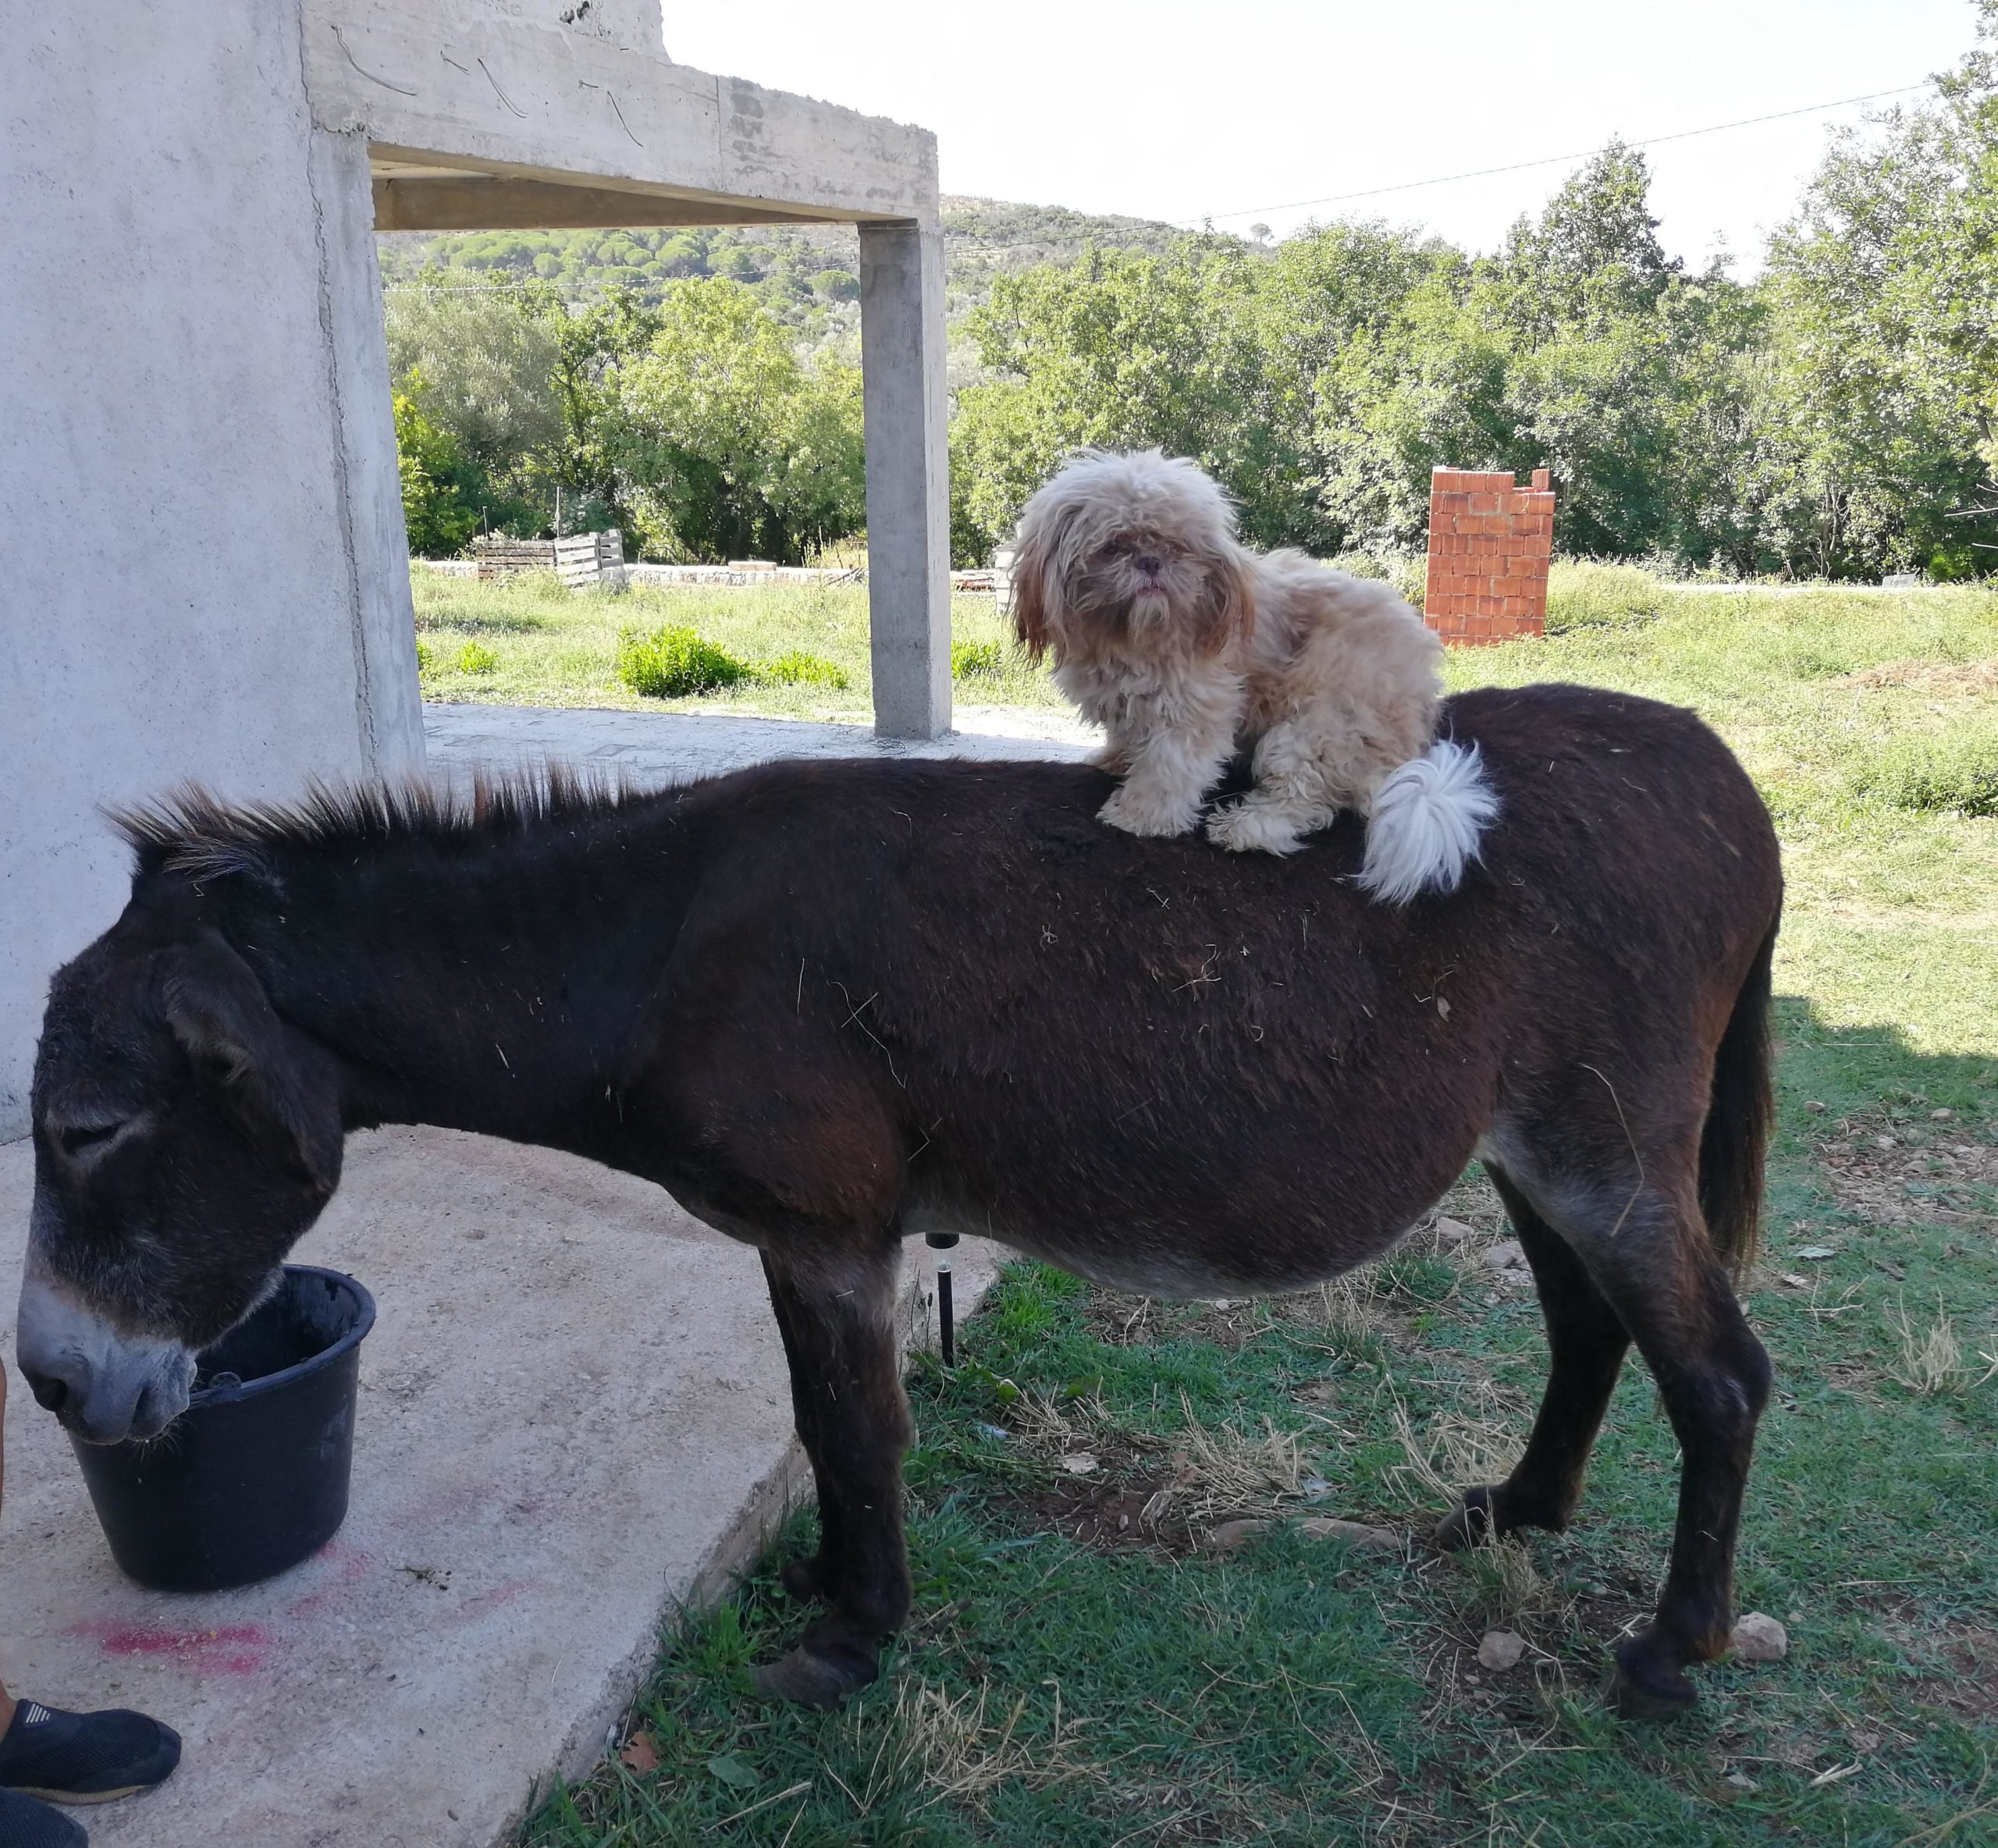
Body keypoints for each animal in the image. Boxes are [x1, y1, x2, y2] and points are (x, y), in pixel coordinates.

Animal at [1015, 453, 1502, 903]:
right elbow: (1131, 736)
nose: (1151, 561)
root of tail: (1409, 742)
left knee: (1307, 801)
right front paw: (1116, 758)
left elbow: (1166, 770)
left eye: (1177, 546)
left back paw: (1244, 827)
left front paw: (1138, 816)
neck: (1129, 636)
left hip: (1316, 729)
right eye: (1114, 546)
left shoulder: (1194, 708)